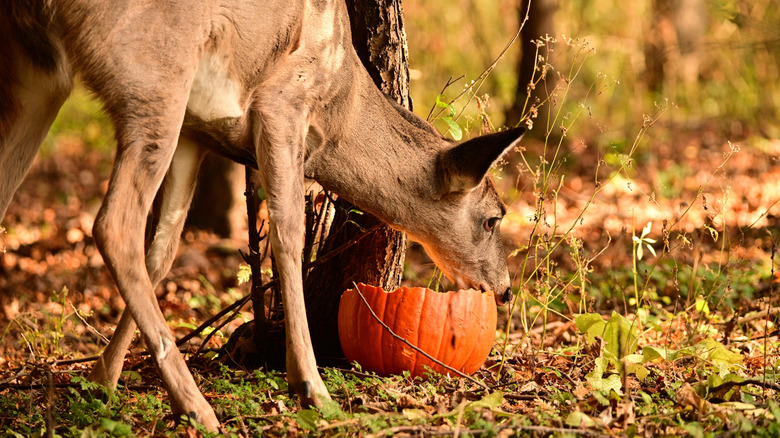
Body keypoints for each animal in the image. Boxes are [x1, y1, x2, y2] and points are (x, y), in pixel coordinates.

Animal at [0, 0, 524, 431]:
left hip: (41, 75)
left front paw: (101, 378)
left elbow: (164, 250)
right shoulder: (282, 104)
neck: (342, 111)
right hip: (154, 73)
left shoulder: (195, 133)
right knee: (114, 224)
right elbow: (288, 235)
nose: (504, 289)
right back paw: (198, 408)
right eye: (493, 217)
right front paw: (311, 386)